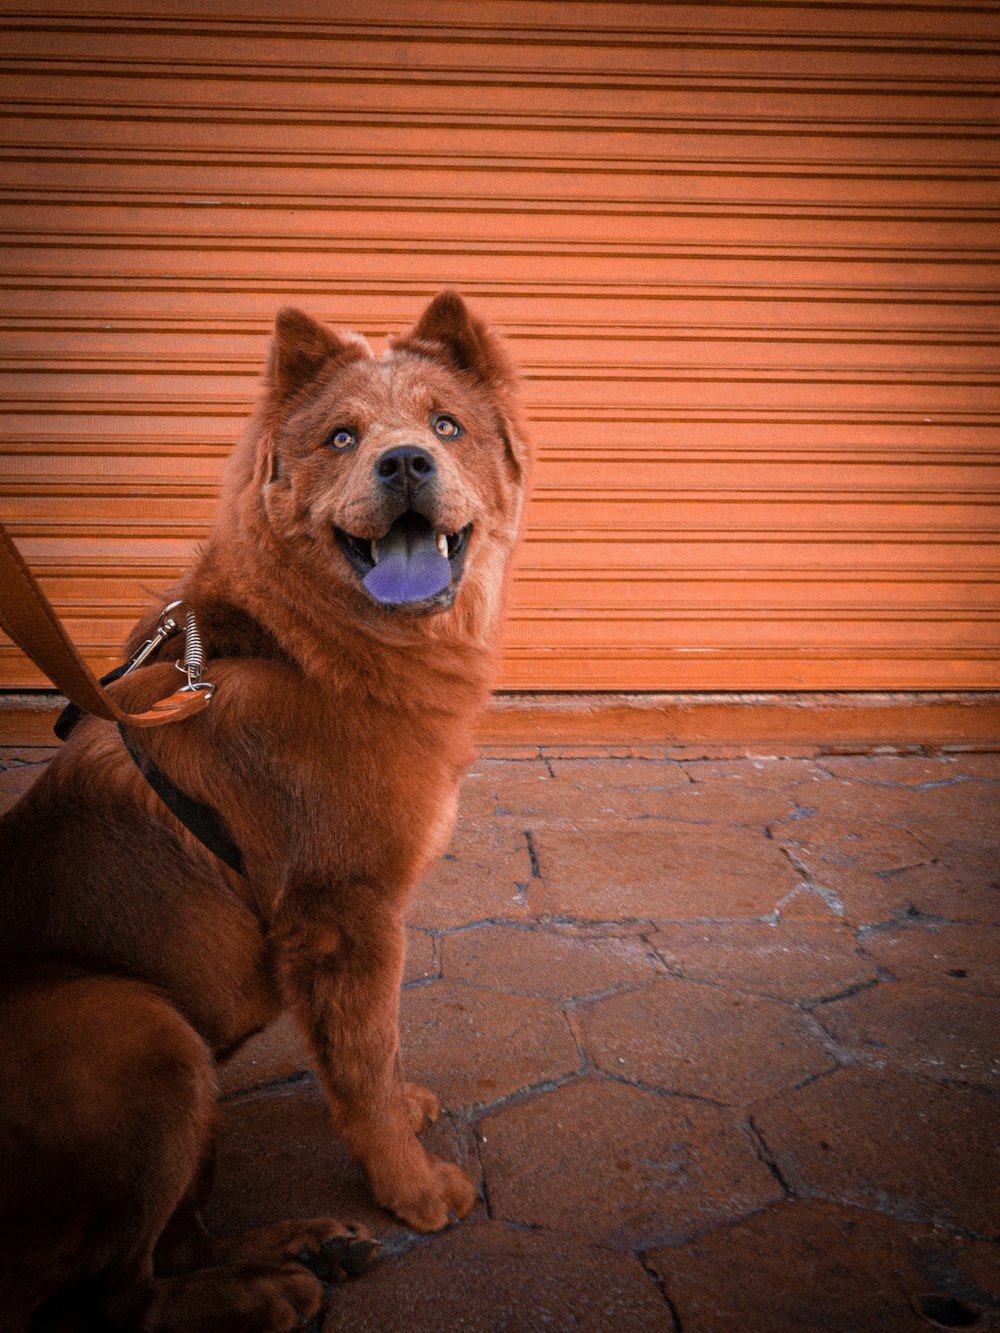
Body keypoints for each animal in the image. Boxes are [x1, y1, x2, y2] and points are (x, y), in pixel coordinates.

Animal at [0, 294, 533, 1333]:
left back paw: (307, 1246)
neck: (311, 650)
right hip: (145, 1030)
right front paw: (414, 1189)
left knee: (172, 1245)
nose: (405, 463)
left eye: (446, 425)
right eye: (342, 438)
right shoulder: (344, 913)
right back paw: (273, 1287)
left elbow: (378, 1054)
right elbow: (362, 1064)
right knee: (113, 1298)